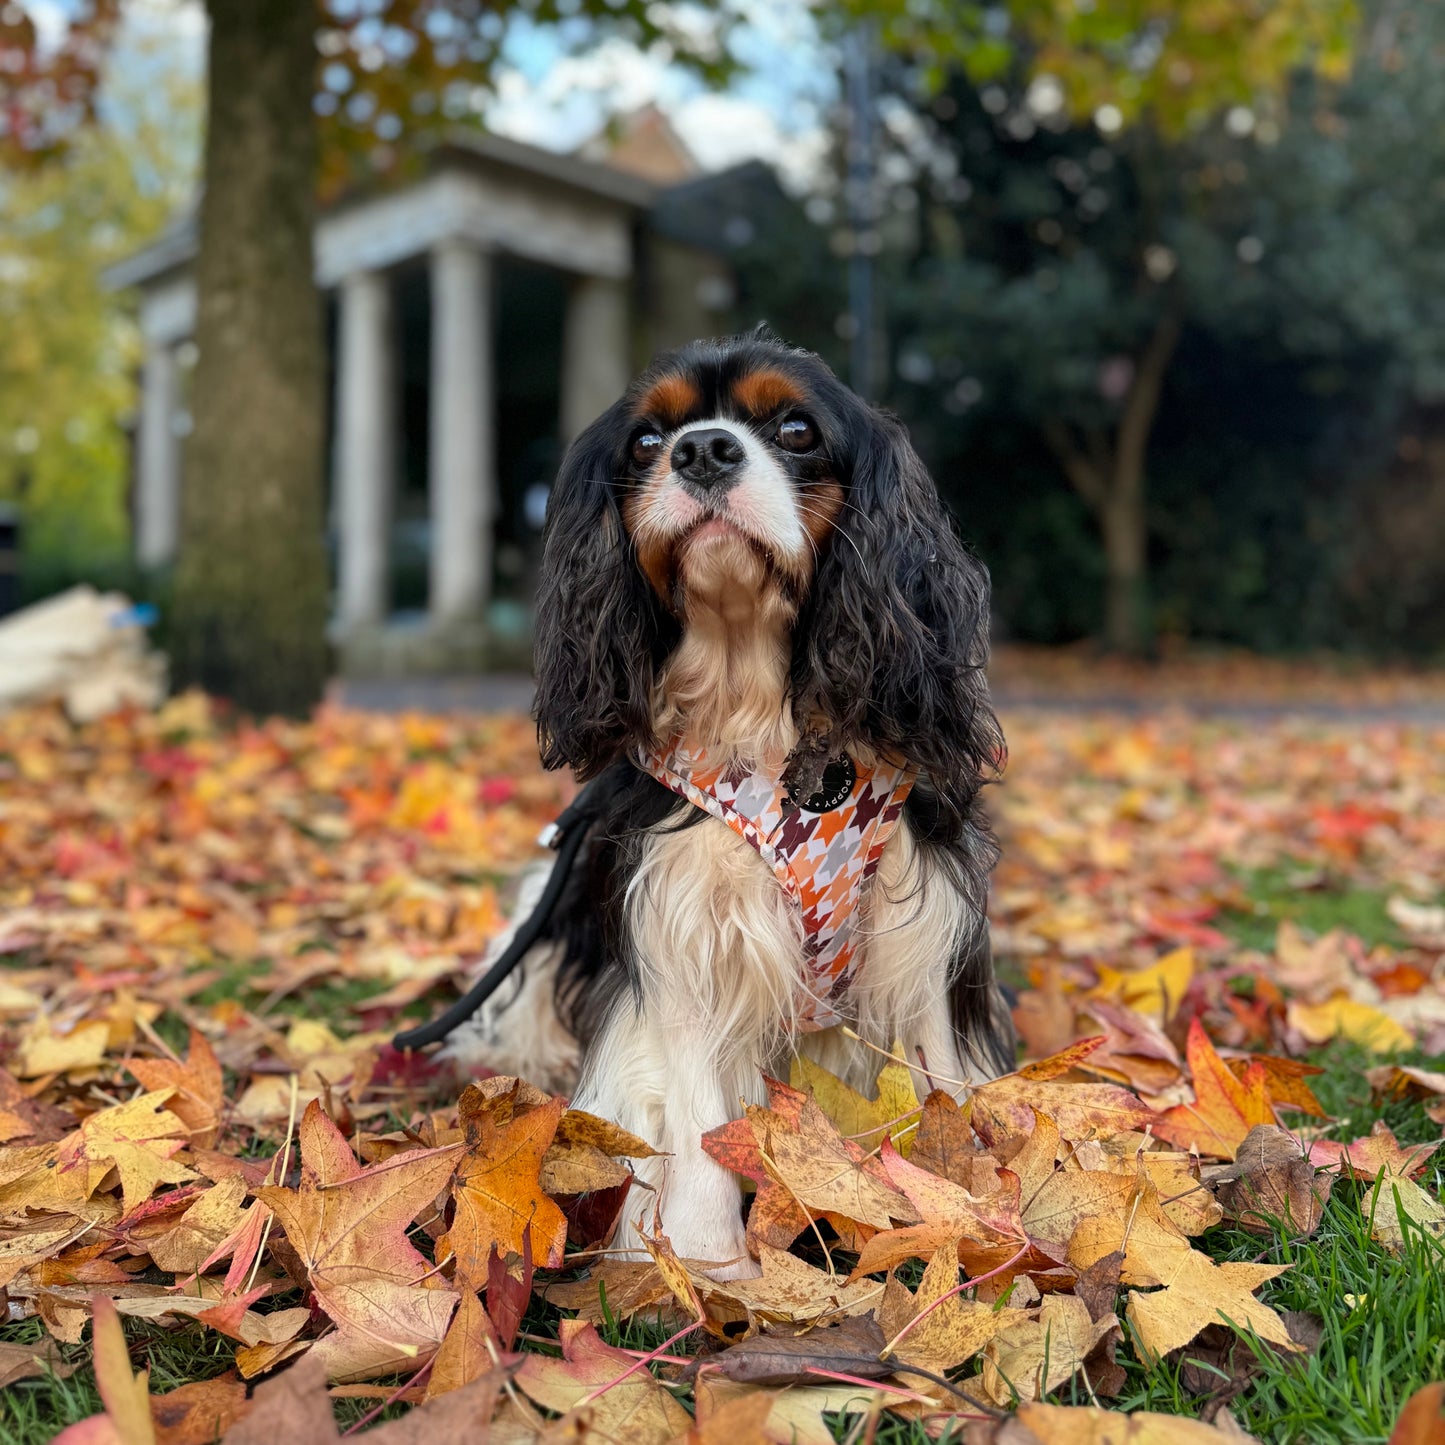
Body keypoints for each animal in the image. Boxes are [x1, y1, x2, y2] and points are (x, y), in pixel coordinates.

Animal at [450, 325, 1017, 1277]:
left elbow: (938, 1076)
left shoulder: (922, 919)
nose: (702, 450)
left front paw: (972, 1216)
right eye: (647, 440)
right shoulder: (682, 933)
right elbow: (698, 1113)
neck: (753, 698)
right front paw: (709, 1263)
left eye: (794, 429)